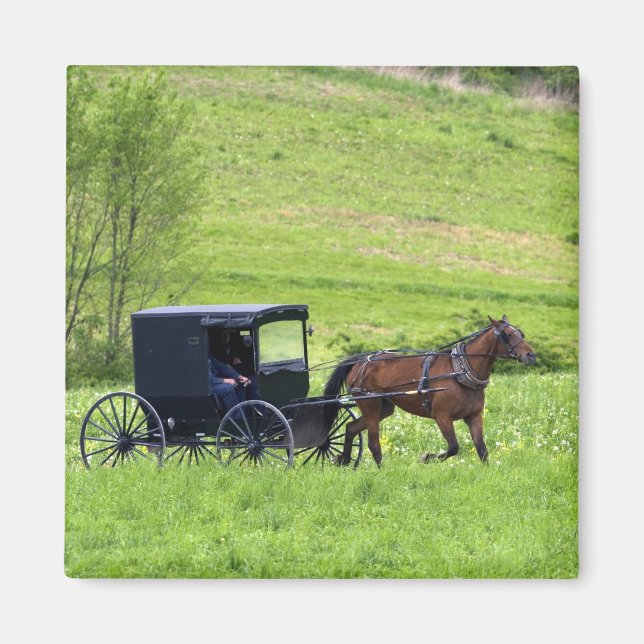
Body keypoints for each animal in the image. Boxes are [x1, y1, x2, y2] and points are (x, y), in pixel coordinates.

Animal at [323, 315, 536, 466]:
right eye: (507, 335)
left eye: (521, 334)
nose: (531, 355)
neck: (460, 371)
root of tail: (361, 361)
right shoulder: (441, 416)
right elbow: (453, 447)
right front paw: (426, 457)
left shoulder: (474, 416)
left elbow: (482, 450)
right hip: (370, 405)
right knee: (373, 444)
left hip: (384, 407)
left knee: (351, 428)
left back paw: (342, 460)